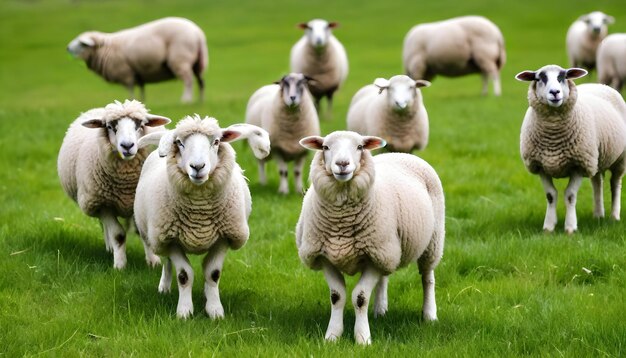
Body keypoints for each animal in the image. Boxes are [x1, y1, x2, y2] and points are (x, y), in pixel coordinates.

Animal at [66, 17, 207, 103]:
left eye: (81, 44)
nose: (67, 48)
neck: (106, 48)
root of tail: (197, 33)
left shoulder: (125, 72)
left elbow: (130, 89)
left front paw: (130, 102)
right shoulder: (138, 73)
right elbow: (141, 89)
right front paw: (141, 102)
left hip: (181, 59)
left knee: (188, 81)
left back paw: (186, 100)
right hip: (198, 63)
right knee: (201, 82)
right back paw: (200, 101)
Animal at [133, 115, 270, 318]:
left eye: (217, 142)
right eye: (179, 143)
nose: (197, 167)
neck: (200, 214)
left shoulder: (224, 238)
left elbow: (213, 273)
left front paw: (214, 310)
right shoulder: (172, 240)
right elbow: (184, 274)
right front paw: (184, 311)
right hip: (158, 237)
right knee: (167, 262)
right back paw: (164, 287)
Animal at [294, 131, 444, 344]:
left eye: (359, 147)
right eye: (325, 147)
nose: (342, 164)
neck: (341, 222)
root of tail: (399, 153)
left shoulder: (373, 257)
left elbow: (360, 297)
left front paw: (362, 338)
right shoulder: (325, 257)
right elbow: (337, 296)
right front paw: (332, 336)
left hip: (431, 241)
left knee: (428, 278)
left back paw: (429, 314)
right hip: (387, 249)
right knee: (383, 278)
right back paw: (380, 310)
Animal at [512, 64, 624, 235]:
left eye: (563, 77)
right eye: (539, 78)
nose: (555, 92)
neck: (553, 137)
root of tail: (599, 84)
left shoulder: (578, 164)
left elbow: (570, 195)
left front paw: (570, 227)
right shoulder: (541, 165)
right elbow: (550, 195)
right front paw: (548, 227)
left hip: (619, 158)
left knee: (615, 184)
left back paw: (614, 216)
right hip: (595, 158)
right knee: (597, 183)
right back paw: (598, 214)